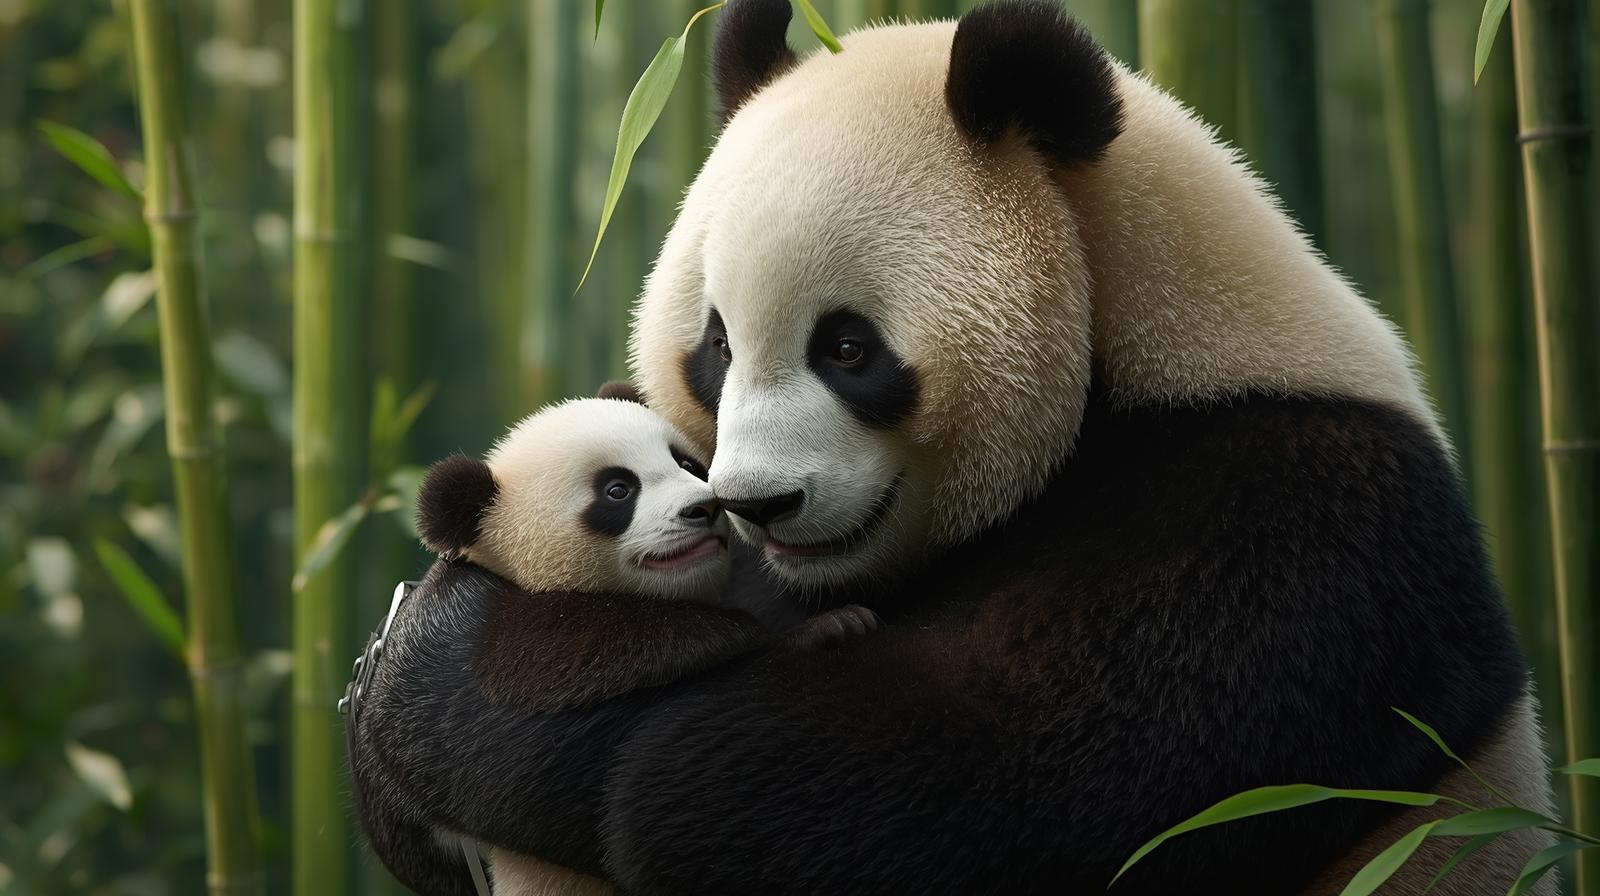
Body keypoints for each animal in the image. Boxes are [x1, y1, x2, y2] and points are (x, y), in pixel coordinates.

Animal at [346, 389, 877, 896]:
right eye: (618, 490)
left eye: (688, 464)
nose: (703, 508)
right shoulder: (498, 640)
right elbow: (574, 654)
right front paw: (819, 628)